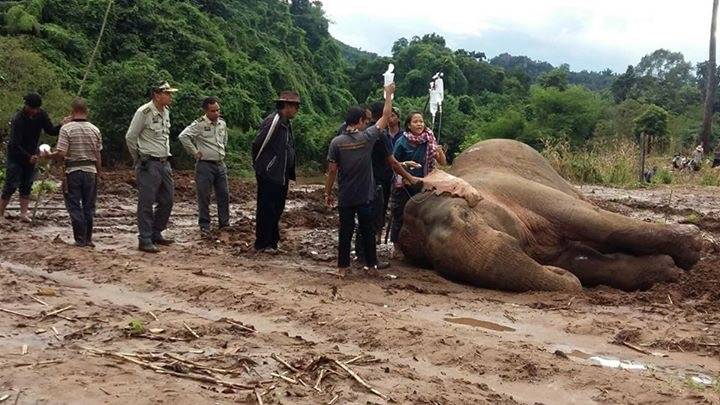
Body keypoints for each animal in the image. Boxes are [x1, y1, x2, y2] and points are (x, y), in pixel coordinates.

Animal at [396, 139, 700, 290]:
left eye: (465, 217)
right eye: (435, 264)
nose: (562, 276)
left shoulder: (518, 189)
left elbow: (589, 220)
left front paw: (692, 249)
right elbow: (578, 260)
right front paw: (668, 269)